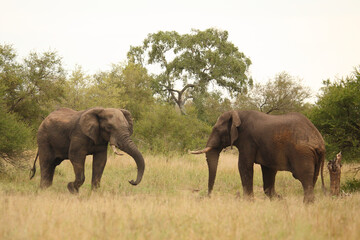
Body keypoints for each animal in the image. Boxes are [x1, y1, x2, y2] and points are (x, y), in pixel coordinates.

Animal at [191, 110, 326, 202]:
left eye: (217, 130)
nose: (208, 196)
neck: (238, 113)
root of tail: (320, 142)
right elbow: (268, 171)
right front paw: (279, 200)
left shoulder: (248, 140)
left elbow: (244, 165)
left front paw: (248, 201)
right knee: (312, 179)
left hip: (302, 153)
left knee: (304, 178)